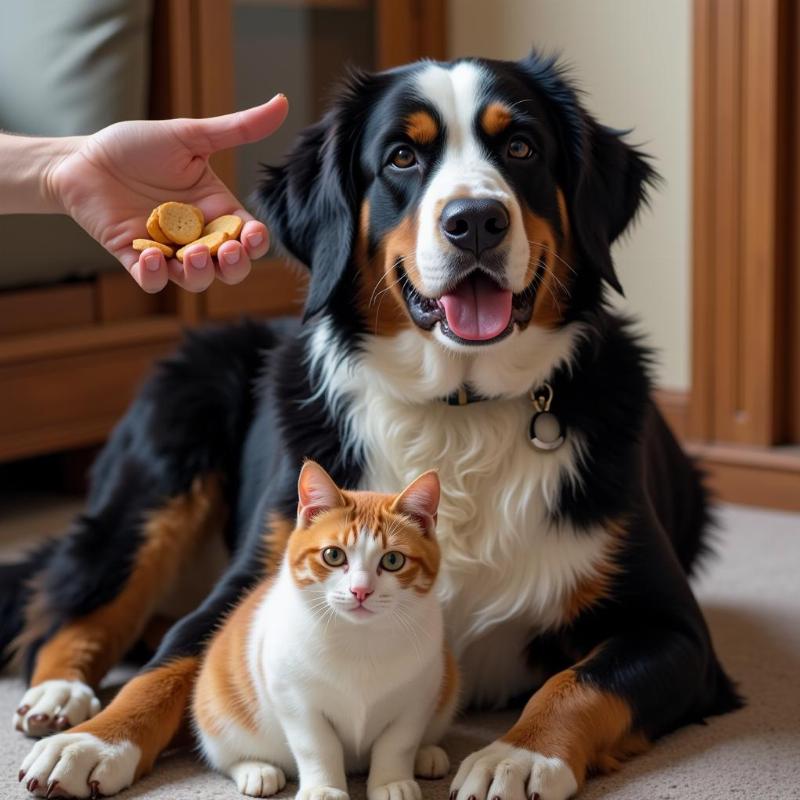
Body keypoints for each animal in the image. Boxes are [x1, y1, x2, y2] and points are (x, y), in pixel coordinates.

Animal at [191, 462, 460, 800]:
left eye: (393, 559)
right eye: (333, 555)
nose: (361, 590)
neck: (361, 640)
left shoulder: (418, 696)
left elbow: (398, 743)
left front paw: (391, 781)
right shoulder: (295, 699)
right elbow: (317, 746)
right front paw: (324, 788)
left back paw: (428, 754)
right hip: (217, 712)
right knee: (224, 756)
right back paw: (256, 769)